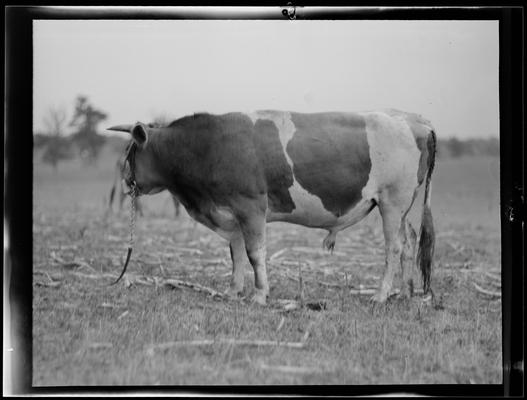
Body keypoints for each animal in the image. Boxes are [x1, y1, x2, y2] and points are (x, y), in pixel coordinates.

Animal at [108, 108, 438, 304]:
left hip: (392, 202)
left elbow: (255, 254)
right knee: (409, 243)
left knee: (394, 247)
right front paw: (233, 291)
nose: (125, 179)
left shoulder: (251, 206)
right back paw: (405, 292)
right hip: (403, 208)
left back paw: (381, 294)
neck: (208, 146)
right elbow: (236, 254)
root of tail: (413, 121)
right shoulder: (232, 213)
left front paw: (259, 294)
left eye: (131, 152)